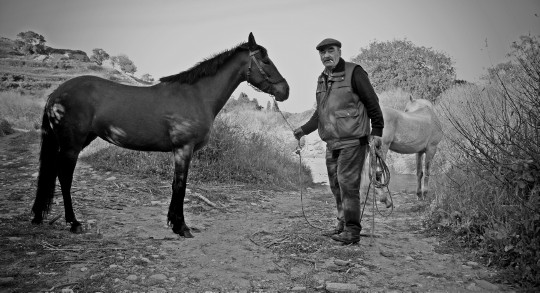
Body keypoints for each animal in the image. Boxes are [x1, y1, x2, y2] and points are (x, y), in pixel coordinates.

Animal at [31, 33, 288, 236]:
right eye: (265, 59)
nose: (285, 90)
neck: (196, 95)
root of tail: (57, 93)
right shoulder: (183, 149)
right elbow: (180, 186)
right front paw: (181, 226)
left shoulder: (180, 151)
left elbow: (176, 185)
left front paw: (173, 222)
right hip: (72, 144)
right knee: (64, 176)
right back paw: (73, 223)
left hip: (78, 141)